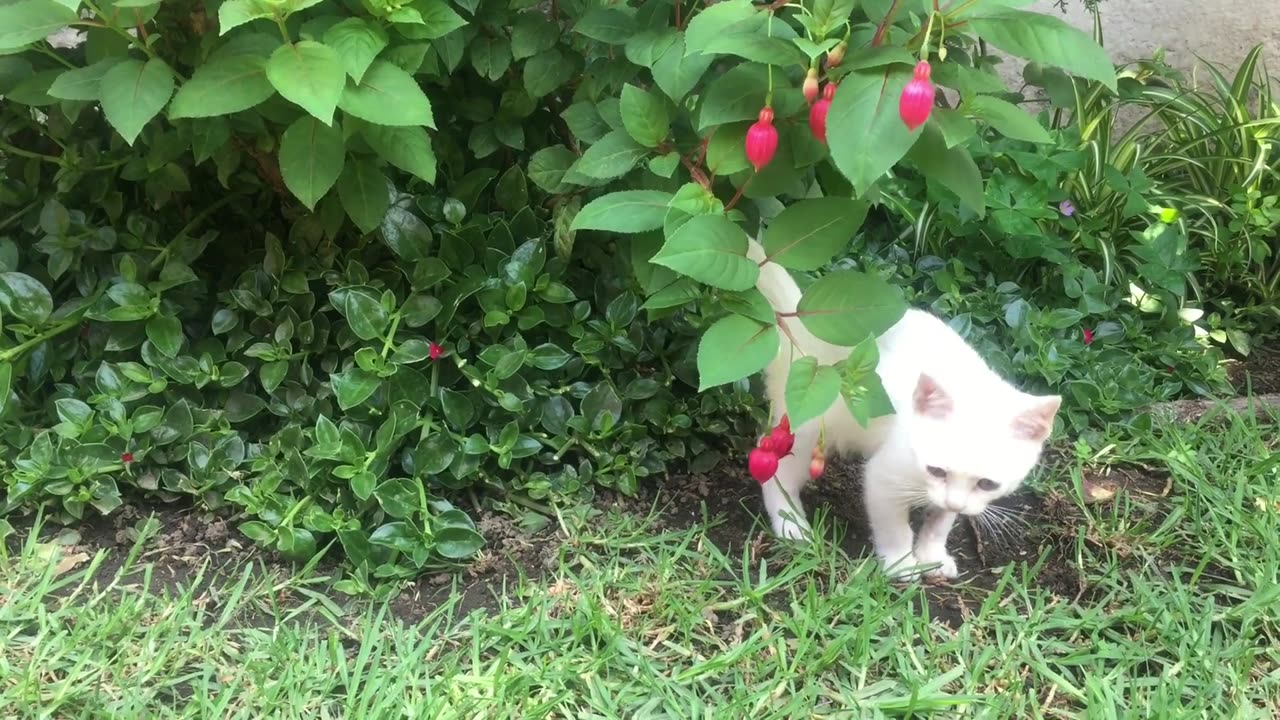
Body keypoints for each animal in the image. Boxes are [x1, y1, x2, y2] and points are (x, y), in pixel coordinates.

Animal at [747, 239, 1059, 576]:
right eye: (936, 470)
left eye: (987, 484)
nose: (955, 503)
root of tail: (800, 320)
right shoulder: (884, 475)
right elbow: (894, 525)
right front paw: (901, 564)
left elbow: (940, 521)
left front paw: (933, 555)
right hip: (809, 421)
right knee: (777, 467)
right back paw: (791, 525)